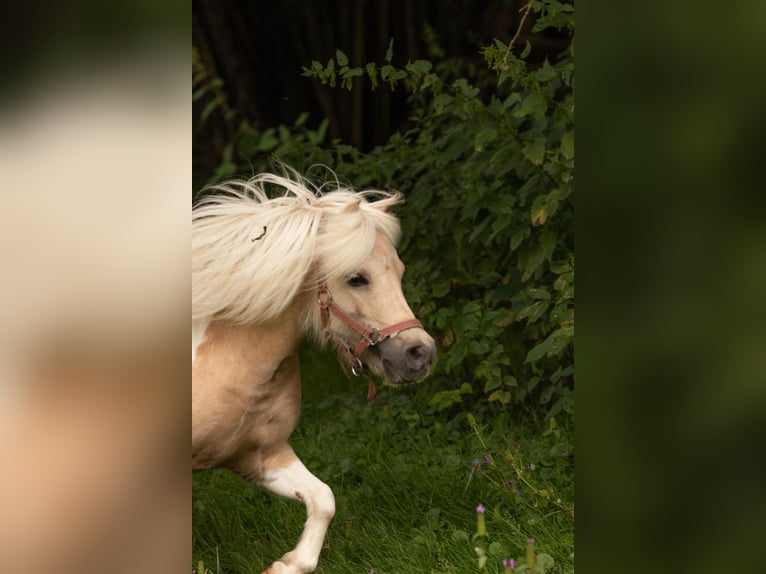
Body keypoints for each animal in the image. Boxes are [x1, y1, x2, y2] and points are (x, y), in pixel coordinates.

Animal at [192, 172, 438, 574]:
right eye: (357, 278)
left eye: (400, 273)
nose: (420, 354)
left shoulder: (262, 456)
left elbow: (324, 499)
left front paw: (285, 565)